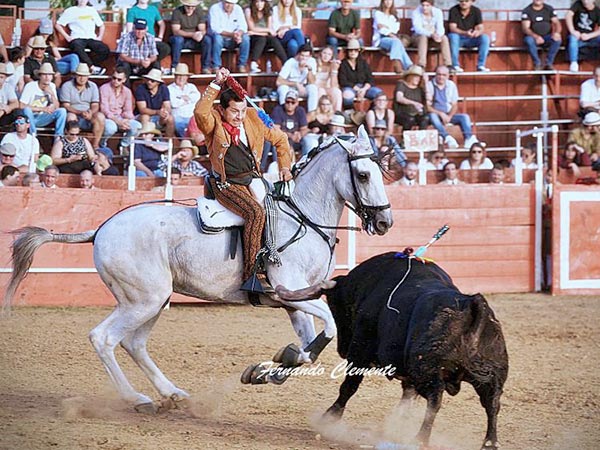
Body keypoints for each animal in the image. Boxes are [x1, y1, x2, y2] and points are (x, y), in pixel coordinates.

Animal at [3, 125, 394, 414]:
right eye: (362, 175)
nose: (385, 222)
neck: (304, 217)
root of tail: (101, 229)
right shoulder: (291, 292)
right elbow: (327, 328)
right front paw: (272, 366)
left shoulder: (294, 302)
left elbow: (310, 344)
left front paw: (266, 371)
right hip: (143, 300)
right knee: (105, 338)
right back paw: (138, 399)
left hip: (152, 300)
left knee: (134, 343)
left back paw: (172, 393)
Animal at [324, 253, 506, 450]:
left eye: (335, 307)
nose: (341, 349)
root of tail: (471, 303)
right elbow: (407, 398)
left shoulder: (360, 350)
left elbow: (350, 385)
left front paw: (330, 416)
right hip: (493, 375)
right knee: (492, 404)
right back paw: (490, 443)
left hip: (427, 371)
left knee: (435, 400)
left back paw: (420, 439)